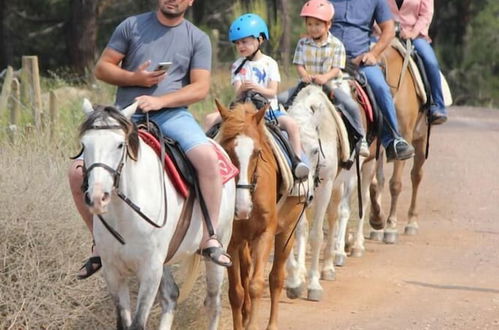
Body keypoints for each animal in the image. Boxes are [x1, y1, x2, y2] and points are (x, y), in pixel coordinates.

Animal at [79, 100, 235, 330]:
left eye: (119, 145)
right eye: (84, 145)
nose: (98, 197)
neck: (125, 215)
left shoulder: (150, 270)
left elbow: (137, 324)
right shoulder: (113, 271)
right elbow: (124, 323)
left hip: (218, 248)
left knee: (213, 302)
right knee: (171, 295)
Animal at [217, 100, 306, 330]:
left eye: (257, 152)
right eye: (226, 150)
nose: (242, 208)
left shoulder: (265, 234)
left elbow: (257, 284)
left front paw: (252, 325)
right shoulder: (232, 241)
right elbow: (236, 292)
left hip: (286, 234)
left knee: (276, 278)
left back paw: (271, 323)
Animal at [284, 84, 376, 302]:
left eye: (315, 151)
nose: (302, 187)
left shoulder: (325, 188)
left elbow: (317, 235)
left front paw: (313, 285)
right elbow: (298, 231)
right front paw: (296, 279)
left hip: (341, 185)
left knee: (335, 216)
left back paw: (328, 266)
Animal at [372, 40, 430, 244]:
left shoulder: (404, 137)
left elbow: (395, 183)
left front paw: (390, 227)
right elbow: (377, 182)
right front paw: (377, 223)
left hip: (421, 140)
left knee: (416, 176)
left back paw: (411, 222)